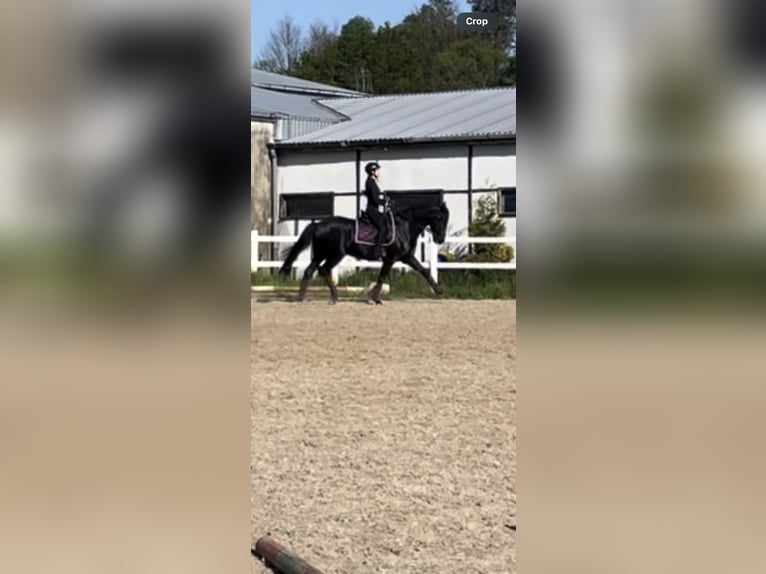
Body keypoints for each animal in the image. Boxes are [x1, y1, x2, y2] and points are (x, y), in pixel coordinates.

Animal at [280, 202, 450, 304]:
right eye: (440, 218)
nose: (440, 239)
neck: (405, 226)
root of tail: (318, 224)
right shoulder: (391, 258)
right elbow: (382, 277)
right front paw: (375, 298)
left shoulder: (406, 257)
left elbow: (424, 271)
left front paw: (439, 290)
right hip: (335, 254)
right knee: (324, 270)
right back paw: (334, 297)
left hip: (320, 254)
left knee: (309, 271)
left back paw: (302, 298)